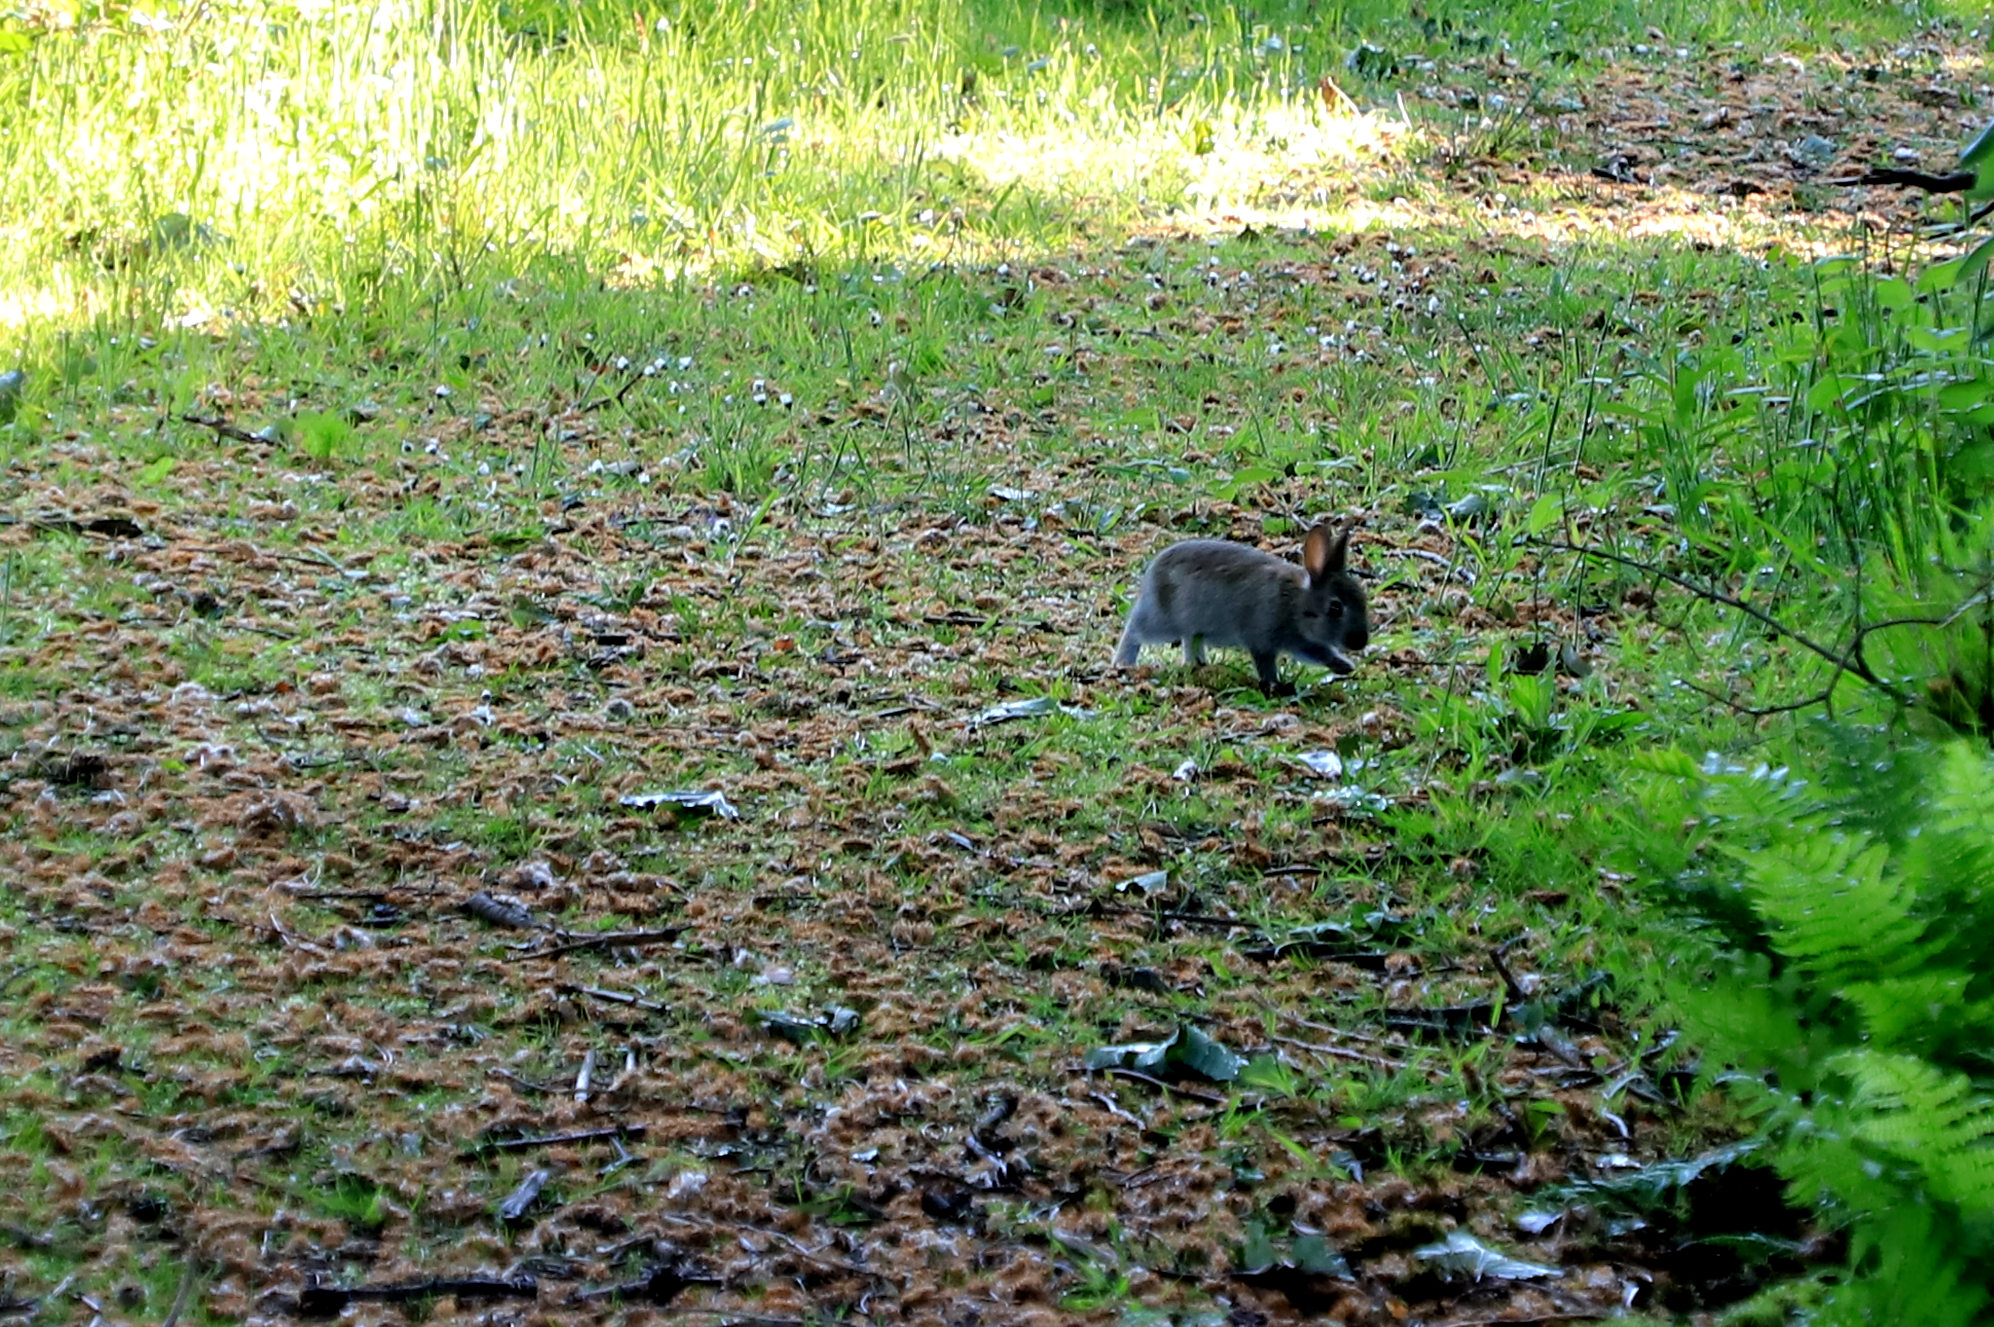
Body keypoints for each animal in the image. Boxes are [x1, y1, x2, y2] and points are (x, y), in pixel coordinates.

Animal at [1108, 522, 1371, 698]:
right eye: (1335, 607)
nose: (1360, 642)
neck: (1296, 602)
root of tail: (1153, 572)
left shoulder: (1302, 641)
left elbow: (1321, 653)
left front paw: (1344, 666)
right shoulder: (1263, 641)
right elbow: (1266, 664)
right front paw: (1274, 686)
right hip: (1163, 621)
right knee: (1134, 631)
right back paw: (1123, 662)